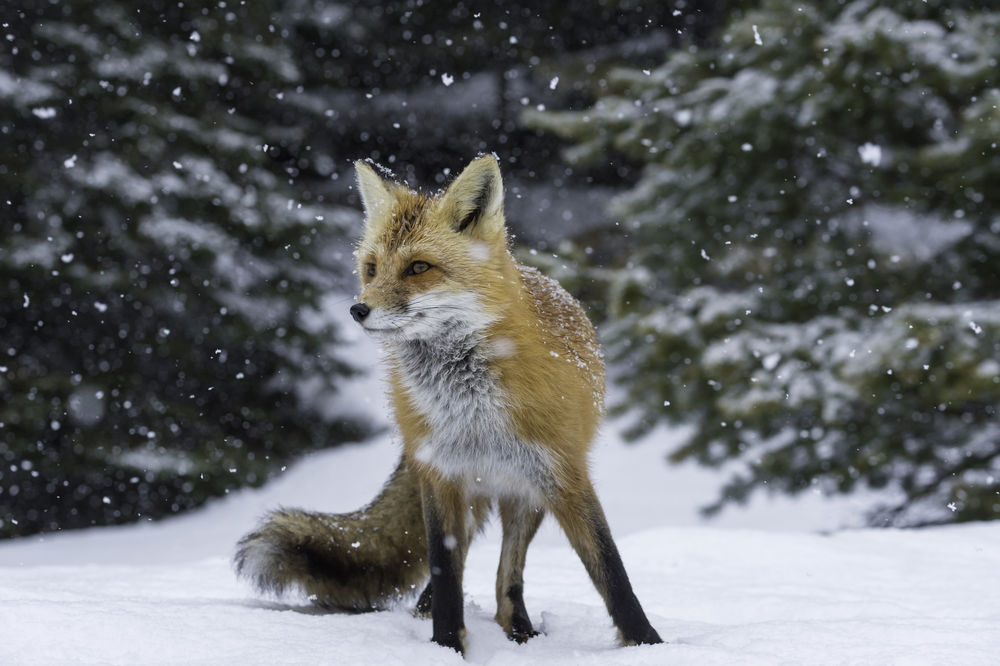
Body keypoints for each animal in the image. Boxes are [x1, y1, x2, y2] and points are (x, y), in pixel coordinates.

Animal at [234, 154, 662, 654]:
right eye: (372, 268)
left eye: (419, 267)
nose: (358, 310)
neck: (470, 410)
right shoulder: (439, 474)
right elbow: (444, 568)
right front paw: (445, 645)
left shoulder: (563, 473)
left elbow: (611, 569)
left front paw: (649, 643)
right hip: (466, 491)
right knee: (461, 570)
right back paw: (431, 614)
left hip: (524, 496)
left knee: (508, 577)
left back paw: (520, 631)